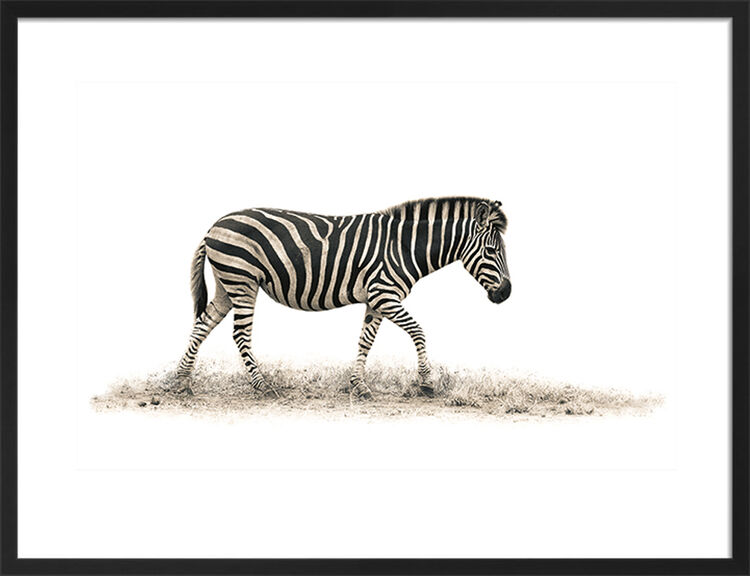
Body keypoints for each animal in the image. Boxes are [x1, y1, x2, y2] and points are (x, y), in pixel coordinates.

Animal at [173, 196, 511, 399]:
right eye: (491, 251)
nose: (506, 294)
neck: (403, 247)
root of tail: (214, 226)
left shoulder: (376, 300)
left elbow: (365, 342)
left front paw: (359, 386)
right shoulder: (385, 294)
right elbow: (419, 331)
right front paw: (427, 382)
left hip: (228, 284)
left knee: (203, 324)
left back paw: (182, 380)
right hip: (243, 281)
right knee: (240, 334)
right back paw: (262, 385)